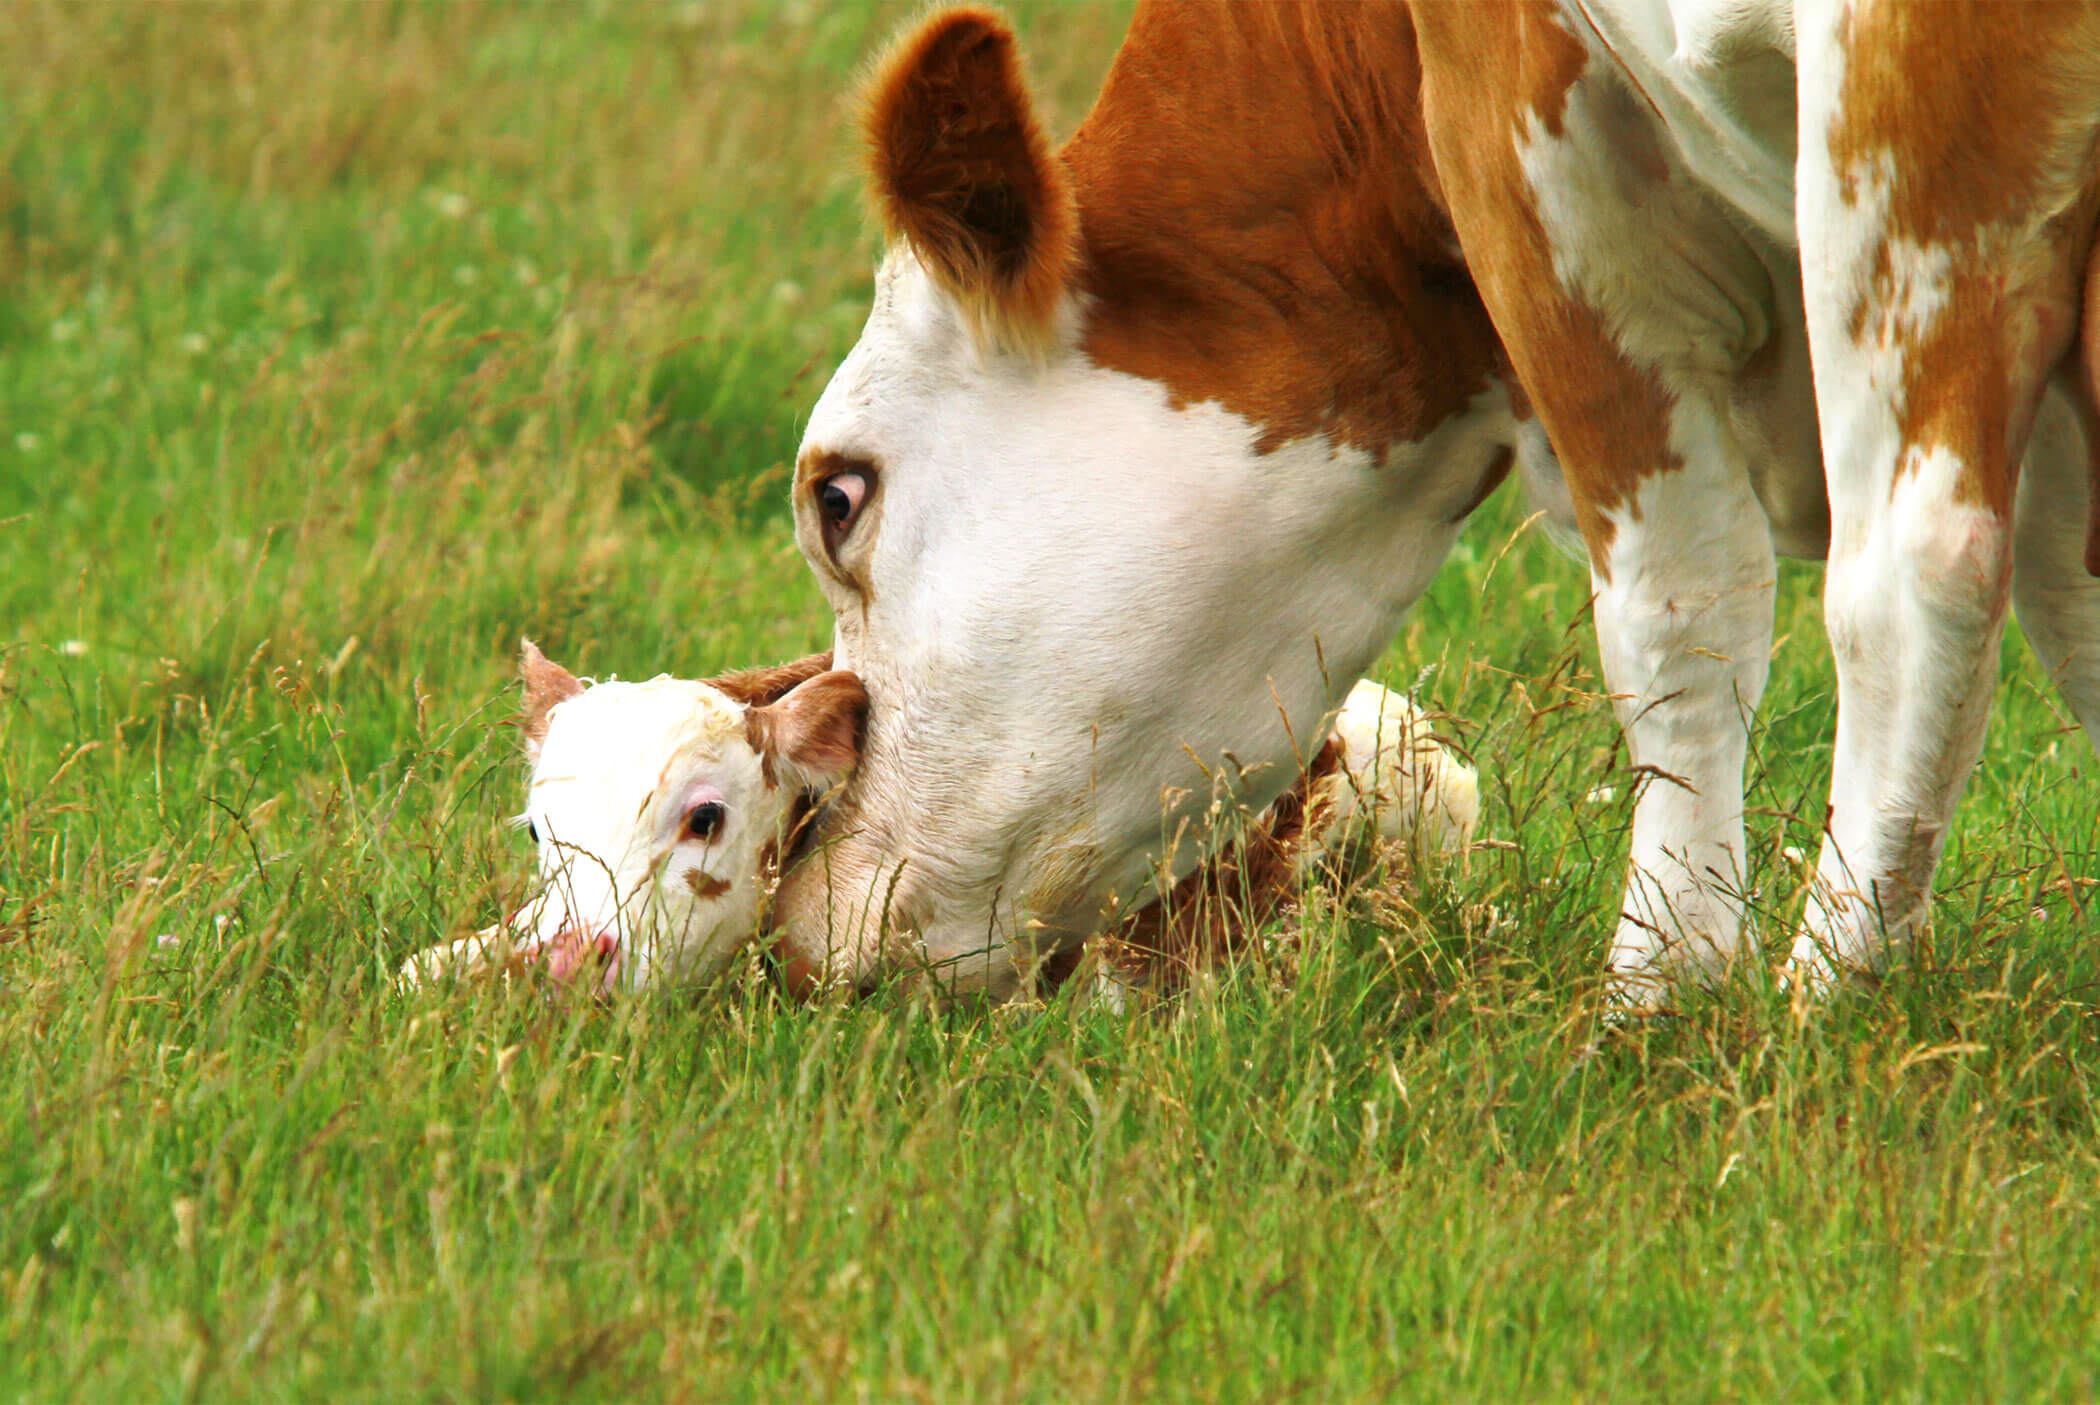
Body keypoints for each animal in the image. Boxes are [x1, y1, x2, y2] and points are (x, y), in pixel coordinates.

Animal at [770, 0, 2100, 1005]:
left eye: (838, 497)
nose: (802, 925)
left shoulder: (1521, 126)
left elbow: (1677, 613)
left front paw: (1662, 997)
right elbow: (2070, 602)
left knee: (1914, 572)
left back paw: (1826, 1002)